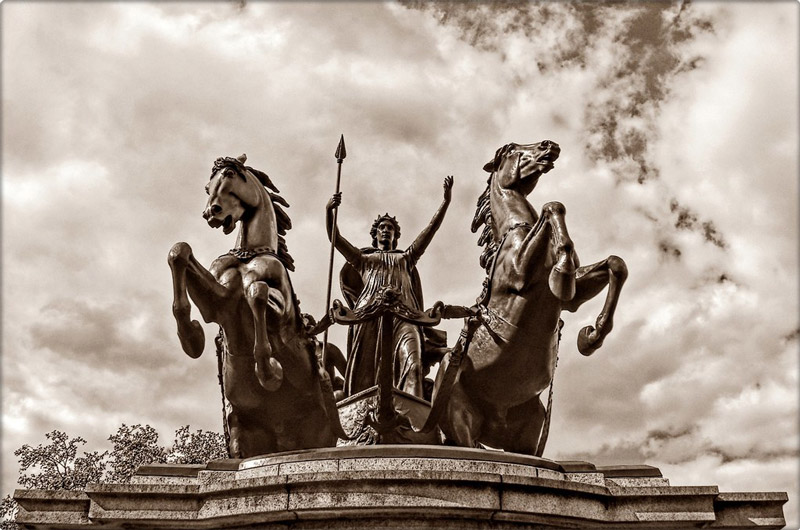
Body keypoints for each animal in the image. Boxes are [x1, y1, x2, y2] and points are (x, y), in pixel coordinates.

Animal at [167, 155, 336, 456]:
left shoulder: (281, 311)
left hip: (319, 431)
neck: (248, 254)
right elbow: (179, 251)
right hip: (242, 432)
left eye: (230, 174)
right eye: (207, 186)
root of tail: (284, 438)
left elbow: (257, 291)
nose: (211, 213)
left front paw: (269, 371)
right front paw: (191, 337)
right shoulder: (219, 302)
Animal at [438, 141, 624, 454]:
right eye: (512, 149)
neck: (517, 228)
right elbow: (552, 206)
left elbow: (615, 264)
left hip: (531, 426)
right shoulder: (520, 275)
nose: (551, 145)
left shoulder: (572, 299)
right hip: (458, 414)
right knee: (464, 442)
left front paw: (591, 337)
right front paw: (561, 268)